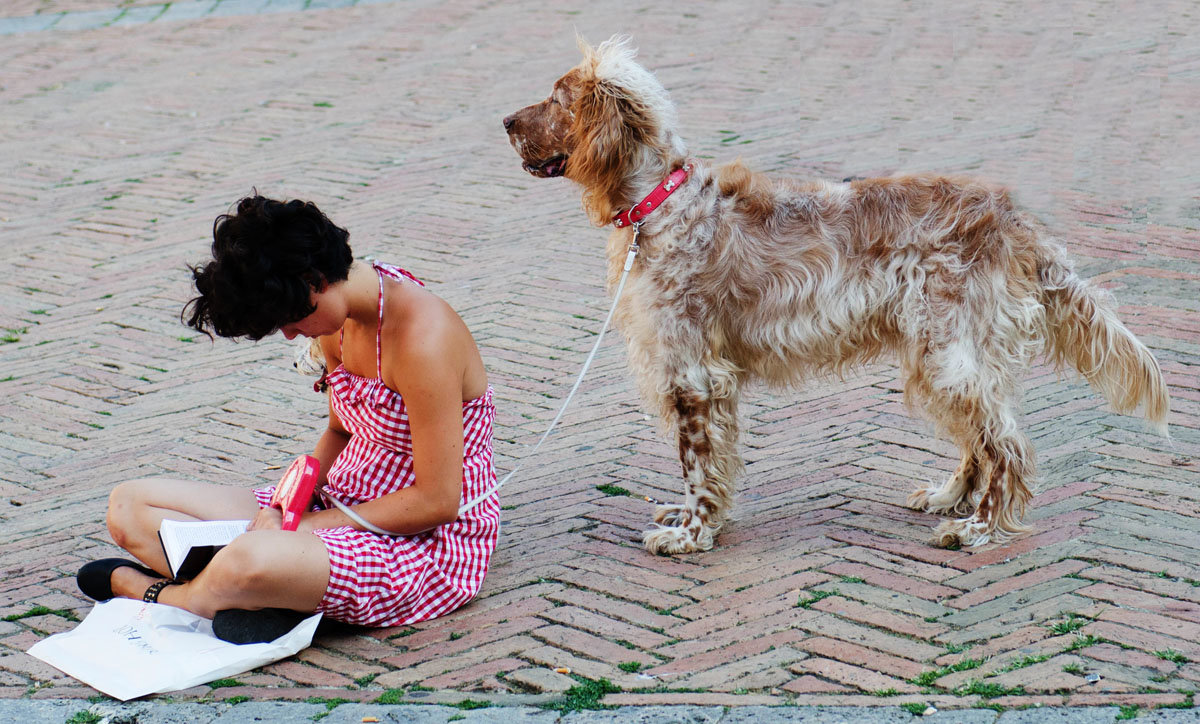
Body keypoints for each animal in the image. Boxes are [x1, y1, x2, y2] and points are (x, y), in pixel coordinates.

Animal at [501, 35, 1166, 554]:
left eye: (557, 99)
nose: (505, 122)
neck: (660, 206)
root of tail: (1013, 219)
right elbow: (713, 463)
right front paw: (695, 520)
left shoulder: (693, 374)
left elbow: (697, 463)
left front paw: (690, 534)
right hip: (943, 359)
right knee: (981, 441)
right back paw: (949, 498)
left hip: (948, 356)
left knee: (1007, 447)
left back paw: (977, 527)